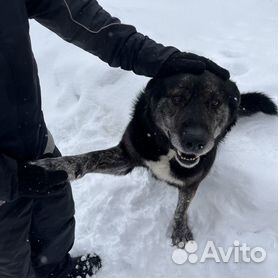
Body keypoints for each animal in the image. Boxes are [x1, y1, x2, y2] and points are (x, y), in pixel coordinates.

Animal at [33, 71, 278, 248]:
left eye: (215, 102)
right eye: (178, 98)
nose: (195, 142)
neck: (168, 149)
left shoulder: (192, 180)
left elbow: (182, 207)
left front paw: (180, 231)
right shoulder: (127, 156)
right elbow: (90, 157)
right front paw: (56, 166)